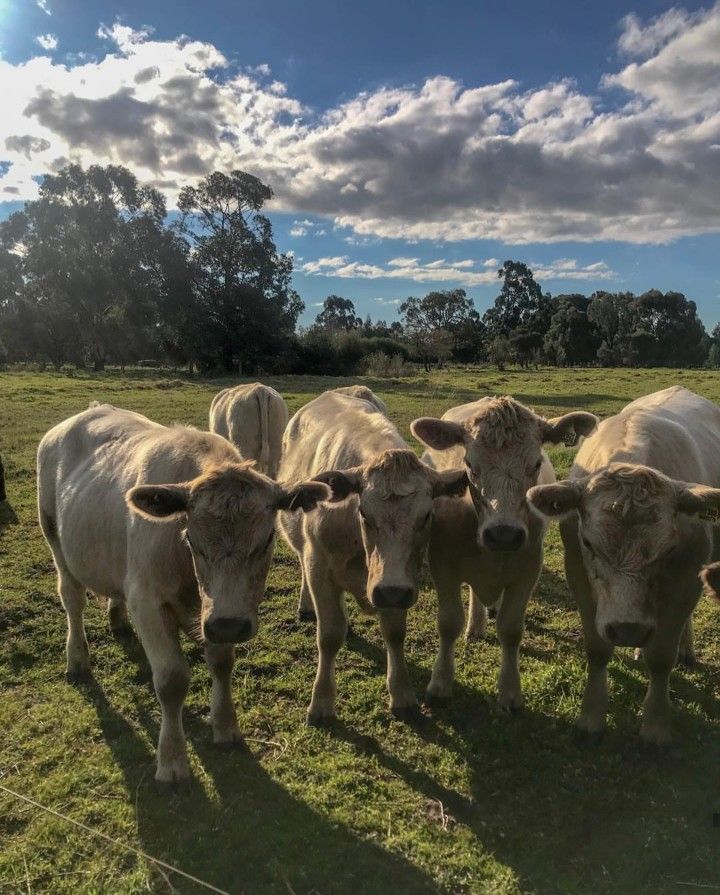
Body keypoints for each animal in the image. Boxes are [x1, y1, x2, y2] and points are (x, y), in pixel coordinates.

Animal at [37, 402, 330, 780]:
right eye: (191, 538)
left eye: (267, 540)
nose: (229, 624)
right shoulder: (148, 601)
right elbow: (172, 679)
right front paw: (173, 761)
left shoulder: (216, 615)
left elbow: (221, 663)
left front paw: (225, 726)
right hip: (55, 539)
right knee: (72, 599)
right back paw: (77, 658)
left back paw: (117, 619)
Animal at [276, 388, 466, 724]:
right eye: (364, 513)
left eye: (427, 516)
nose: (390, 591)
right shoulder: (319, 565)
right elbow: (329, 635)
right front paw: (321, 703)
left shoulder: (398, 583)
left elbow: (394, 632)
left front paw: (401, 695)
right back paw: (306, 606)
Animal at [410, 396, 596, 712]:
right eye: (469, 464)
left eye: (536, 463)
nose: (503, 534)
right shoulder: (442, 564)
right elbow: (448, 624)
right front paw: (440, 684)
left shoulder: (528, 569)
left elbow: (510, 630)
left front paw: (510, 692)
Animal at [524, 388, 720, 744]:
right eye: (589, 544)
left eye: (668, 549)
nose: (629, 630)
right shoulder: (578, 572)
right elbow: (597, 649)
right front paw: (591, 717)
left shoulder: (687, 576)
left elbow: (662, 657)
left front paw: (655, 725)